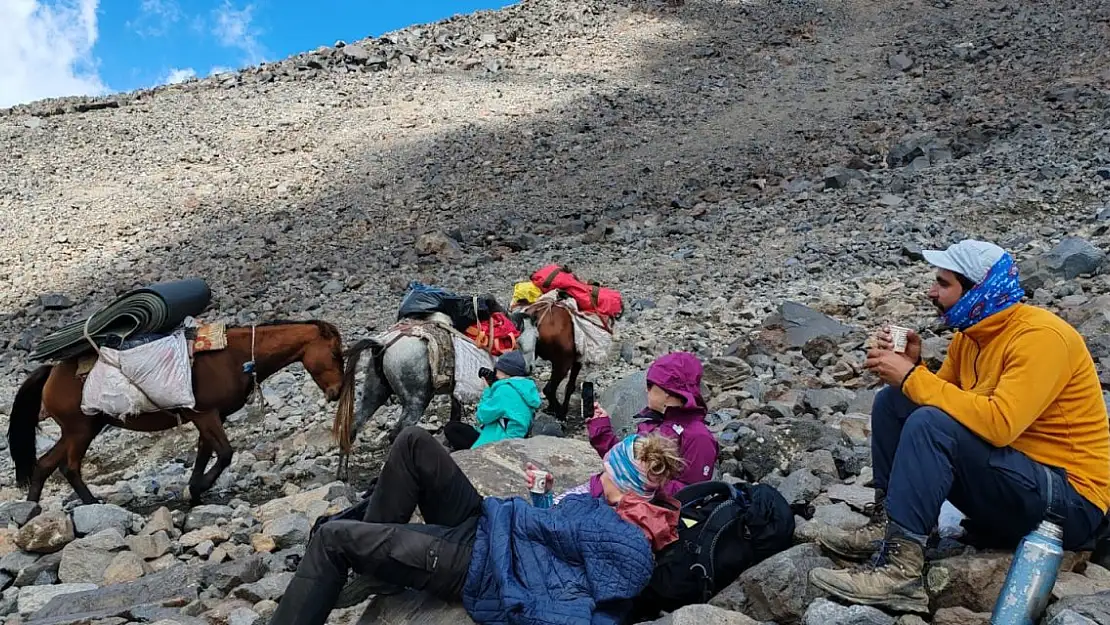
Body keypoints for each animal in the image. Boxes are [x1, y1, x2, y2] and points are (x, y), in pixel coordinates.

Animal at [7, 319, 341, 506]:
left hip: (80, 429)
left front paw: (194, 491)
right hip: (80, 429)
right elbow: (225, 453)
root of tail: (51, 372)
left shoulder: (209, 417)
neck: (233, 355)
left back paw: (31, 511)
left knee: (44, 464)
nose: (337, 392)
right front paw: (197, 488)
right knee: (69, 467)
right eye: (336, 353)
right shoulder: (206, 414)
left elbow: (205, 454)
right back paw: (90, 503)